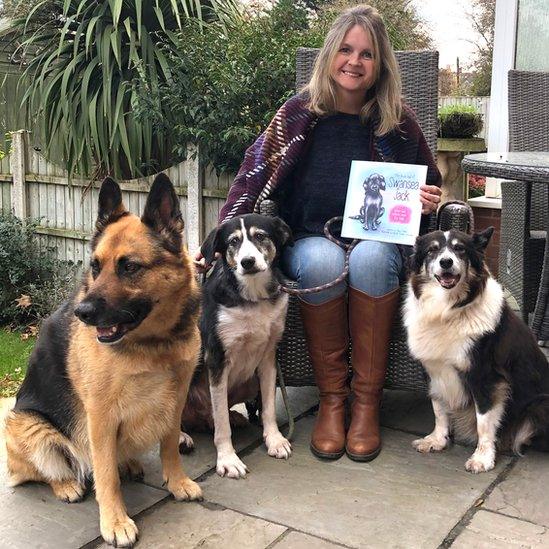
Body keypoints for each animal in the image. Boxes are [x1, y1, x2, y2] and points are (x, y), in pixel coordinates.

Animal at [4, 174, 201, 544]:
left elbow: (169, 444)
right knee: (47, 470)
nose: (82, 313)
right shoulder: (100, 416)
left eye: (130, 267)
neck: (153, 343)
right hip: (28, 426)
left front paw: (177, 482)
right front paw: (115, 521)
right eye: (95, 266)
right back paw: (67, 485)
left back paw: (129, 464)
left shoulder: (176, 400)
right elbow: (105, 475)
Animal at [196, 212, 294, 478]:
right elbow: (221, 425)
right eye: (233, 241)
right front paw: (228, 459)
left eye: (260, 236)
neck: (252, 297)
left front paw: (274, 440)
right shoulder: (217, 361)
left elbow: (269, 407)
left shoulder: (269, 357)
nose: (247, 262)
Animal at [402, 227, 548, 470]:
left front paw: (483, 458)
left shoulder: (485, 376)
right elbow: (438, 408)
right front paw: (437, 440)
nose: (446, 262)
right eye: (432, 250)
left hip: (539, 405)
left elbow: (483, 420)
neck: (448, 311)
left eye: (460, 248)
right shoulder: (433, 370)